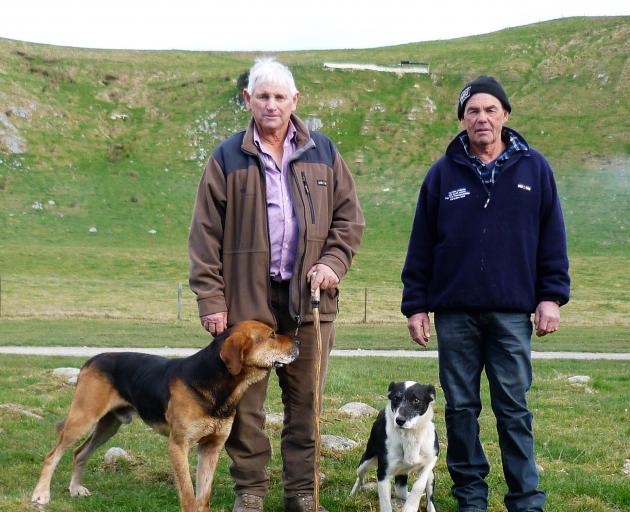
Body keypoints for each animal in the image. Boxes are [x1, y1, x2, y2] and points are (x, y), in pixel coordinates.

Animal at [350, 382, 440, 510]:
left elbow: (419, 485)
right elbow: (385, 503)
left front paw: (410, 506)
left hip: (430, 475)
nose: (400, 420)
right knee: (360, 477)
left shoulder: (430, 461)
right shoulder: (383, 474)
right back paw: (353, 494)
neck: (409, 436)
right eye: (396, 398)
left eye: (416, 400)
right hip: (365, 462)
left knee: (416, 494)